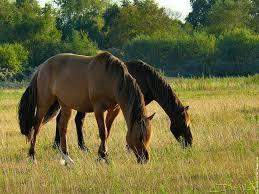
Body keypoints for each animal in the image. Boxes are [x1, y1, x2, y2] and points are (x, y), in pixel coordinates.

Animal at [18, 51, 156, 164]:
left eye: (148, 135)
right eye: (139, 136)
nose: (145, 159)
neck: (111, 77)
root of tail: (42, 67)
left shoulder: (114, 109)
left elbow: (107, 131)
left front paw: (100, 155)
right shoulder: (98, 109)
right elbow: (103, 132)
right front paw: (104, 157)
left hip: (65, 105)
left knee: (62, 128)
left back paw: (67, 159)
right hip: (44, 103)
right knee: (36, 127)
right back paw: (32, 156)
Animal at [46, 59, 193, 152]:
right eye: (183, 123)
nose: (190, 143)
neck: (146, 78)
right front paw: (129, 147)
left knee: (68, 120)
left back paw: (64, 146)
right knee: (72, 120)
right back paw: (68, 146)